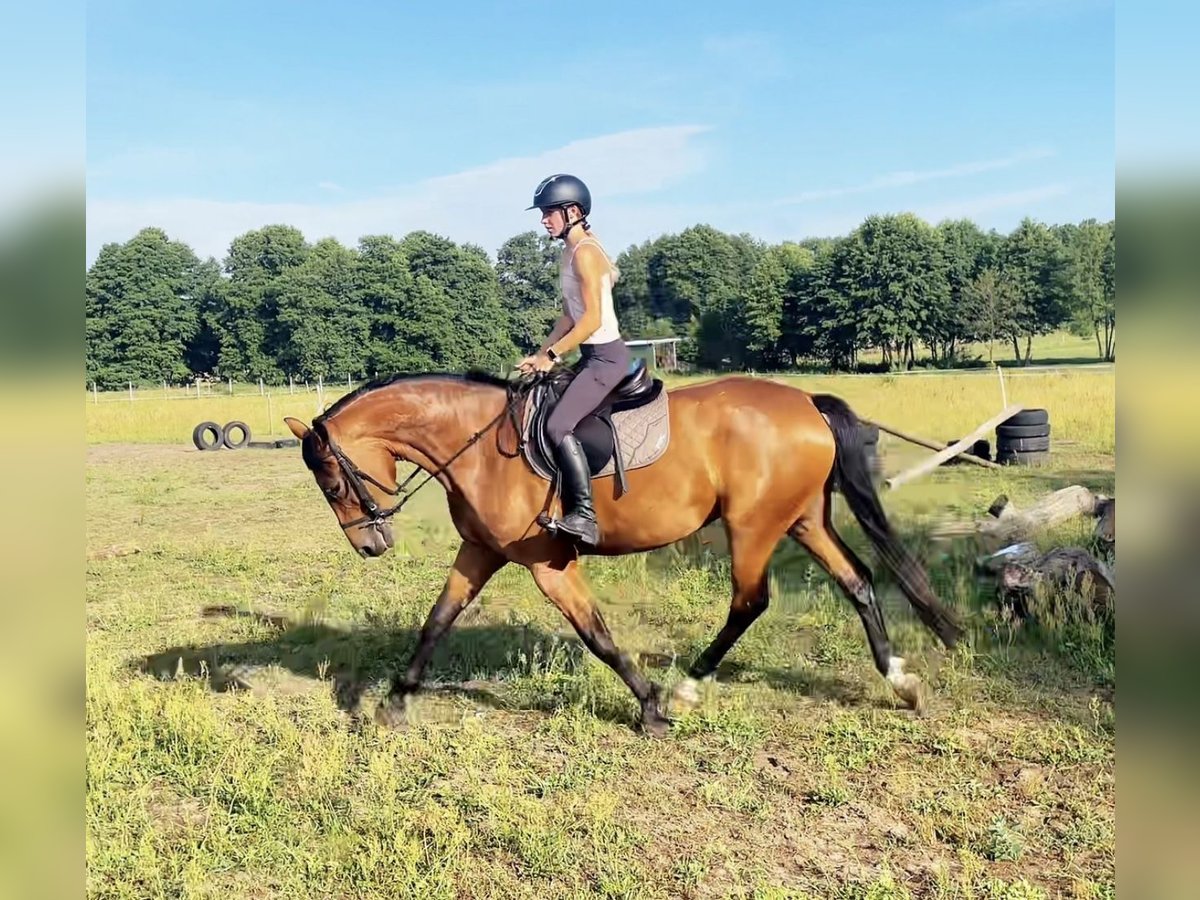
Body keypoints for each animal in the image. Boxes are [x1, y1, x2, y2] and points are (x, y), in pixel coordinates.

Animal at [283, 369, 964, 734]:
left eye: (333, 482)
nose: (370, 544)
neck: (478, 446)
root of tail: (805, 402)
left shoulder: (548, 563)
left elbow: (598, 635)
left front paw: (653, 708)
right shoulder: (479, 551)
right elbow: (436, 623)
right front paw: (393, 702)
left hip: (753, 527)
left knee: (750, 602)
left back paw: (688, 688)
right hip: (801, 520)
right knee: (859, 581)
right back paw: (900, 681)